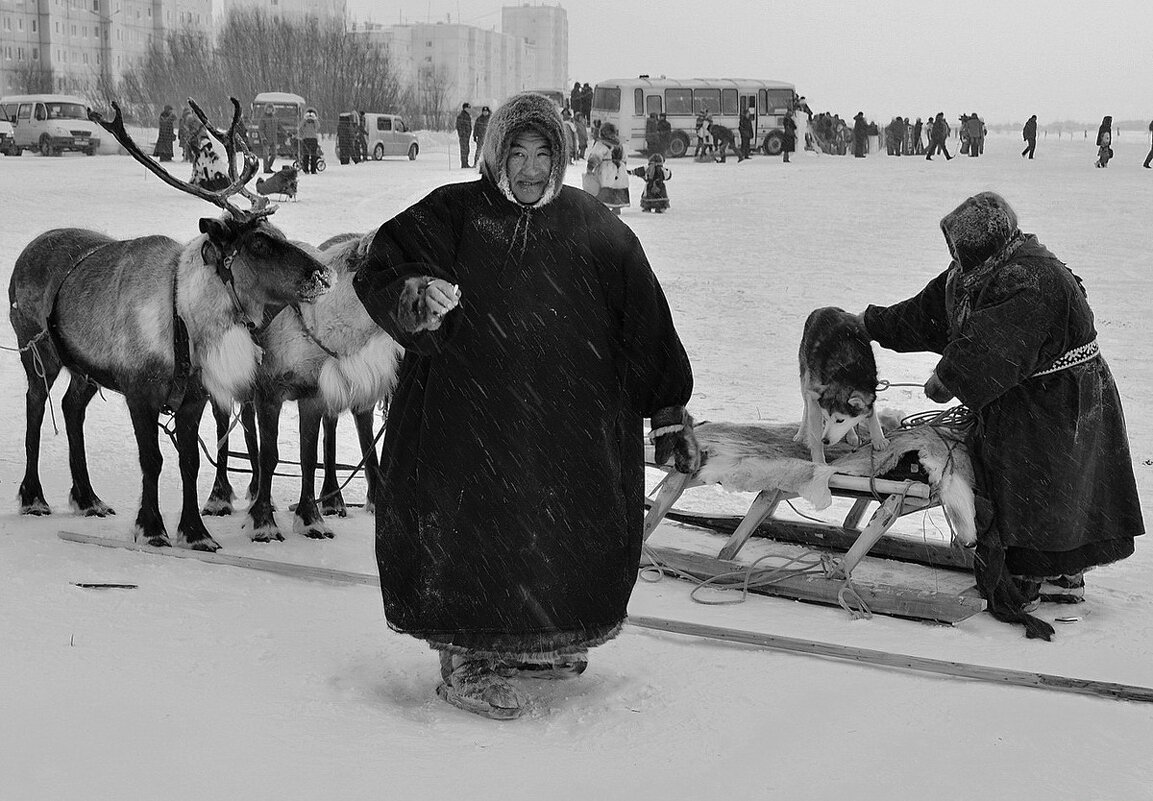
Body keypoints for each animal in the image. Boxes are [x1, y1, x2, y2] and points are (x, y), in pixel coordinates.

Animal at [793, 311, 890, 467]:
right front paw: (819, 462)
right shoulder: (815, 401)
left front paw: (878, 438)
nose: (825, 440)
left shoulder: (870, 388)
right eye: (826, 417)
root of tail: (824, 308)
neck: (846, 370)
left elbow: (872, 414)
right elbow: (815, 434)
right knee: (806, 407)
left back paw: (851, 435)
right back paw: (801, 434)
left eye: (840, 421)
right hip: (806, 378)